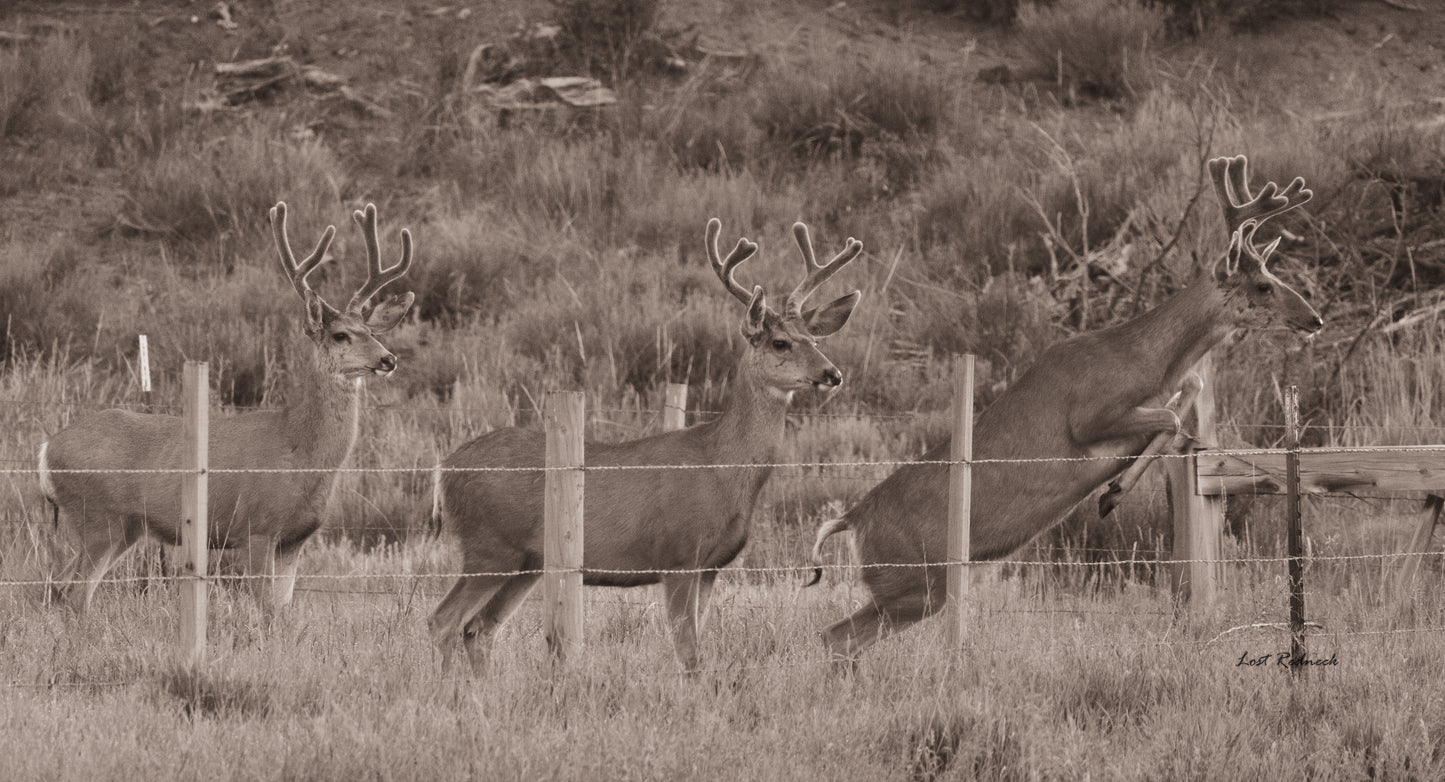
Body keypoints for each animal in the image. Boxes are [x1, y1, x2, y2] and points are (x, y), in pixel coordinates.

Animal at [36, 199, 419, 609]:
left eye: (372, 332)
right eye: (341, 335)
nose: (388, 359)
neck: (300, 453)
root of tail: (46, 450)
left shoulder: (294, 540)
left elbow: (283, 610)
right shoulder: (256, 529)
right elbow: (267, 610)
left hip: (123, 527)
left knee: (59, 586)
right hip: (98, 516)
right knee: (75, 593)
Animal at [421, 216, 861, 673]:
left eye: (815, 340)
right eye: (780, 342)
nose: (833, 374)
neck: (721, 467)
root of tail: (444, 470)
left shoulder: (711, 567)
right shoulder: (679, 555)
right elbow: (689, 652)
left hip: (528, 560)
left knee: (478, 628)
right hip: (489, 545)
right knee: (444, 620)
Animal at [814, 152, 1323, 659]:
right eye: (1262, 285)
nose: (1315, 318)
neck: (1140, 361)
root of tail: (853, 519)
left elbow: (1191, 388)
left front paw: (1114, 490)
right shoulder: (1089, 415)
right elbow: (1171, 416)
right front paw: (1111, 495)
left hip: (910, 589)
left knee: (837, 638)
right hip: (915, 581)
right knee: (837, 635)